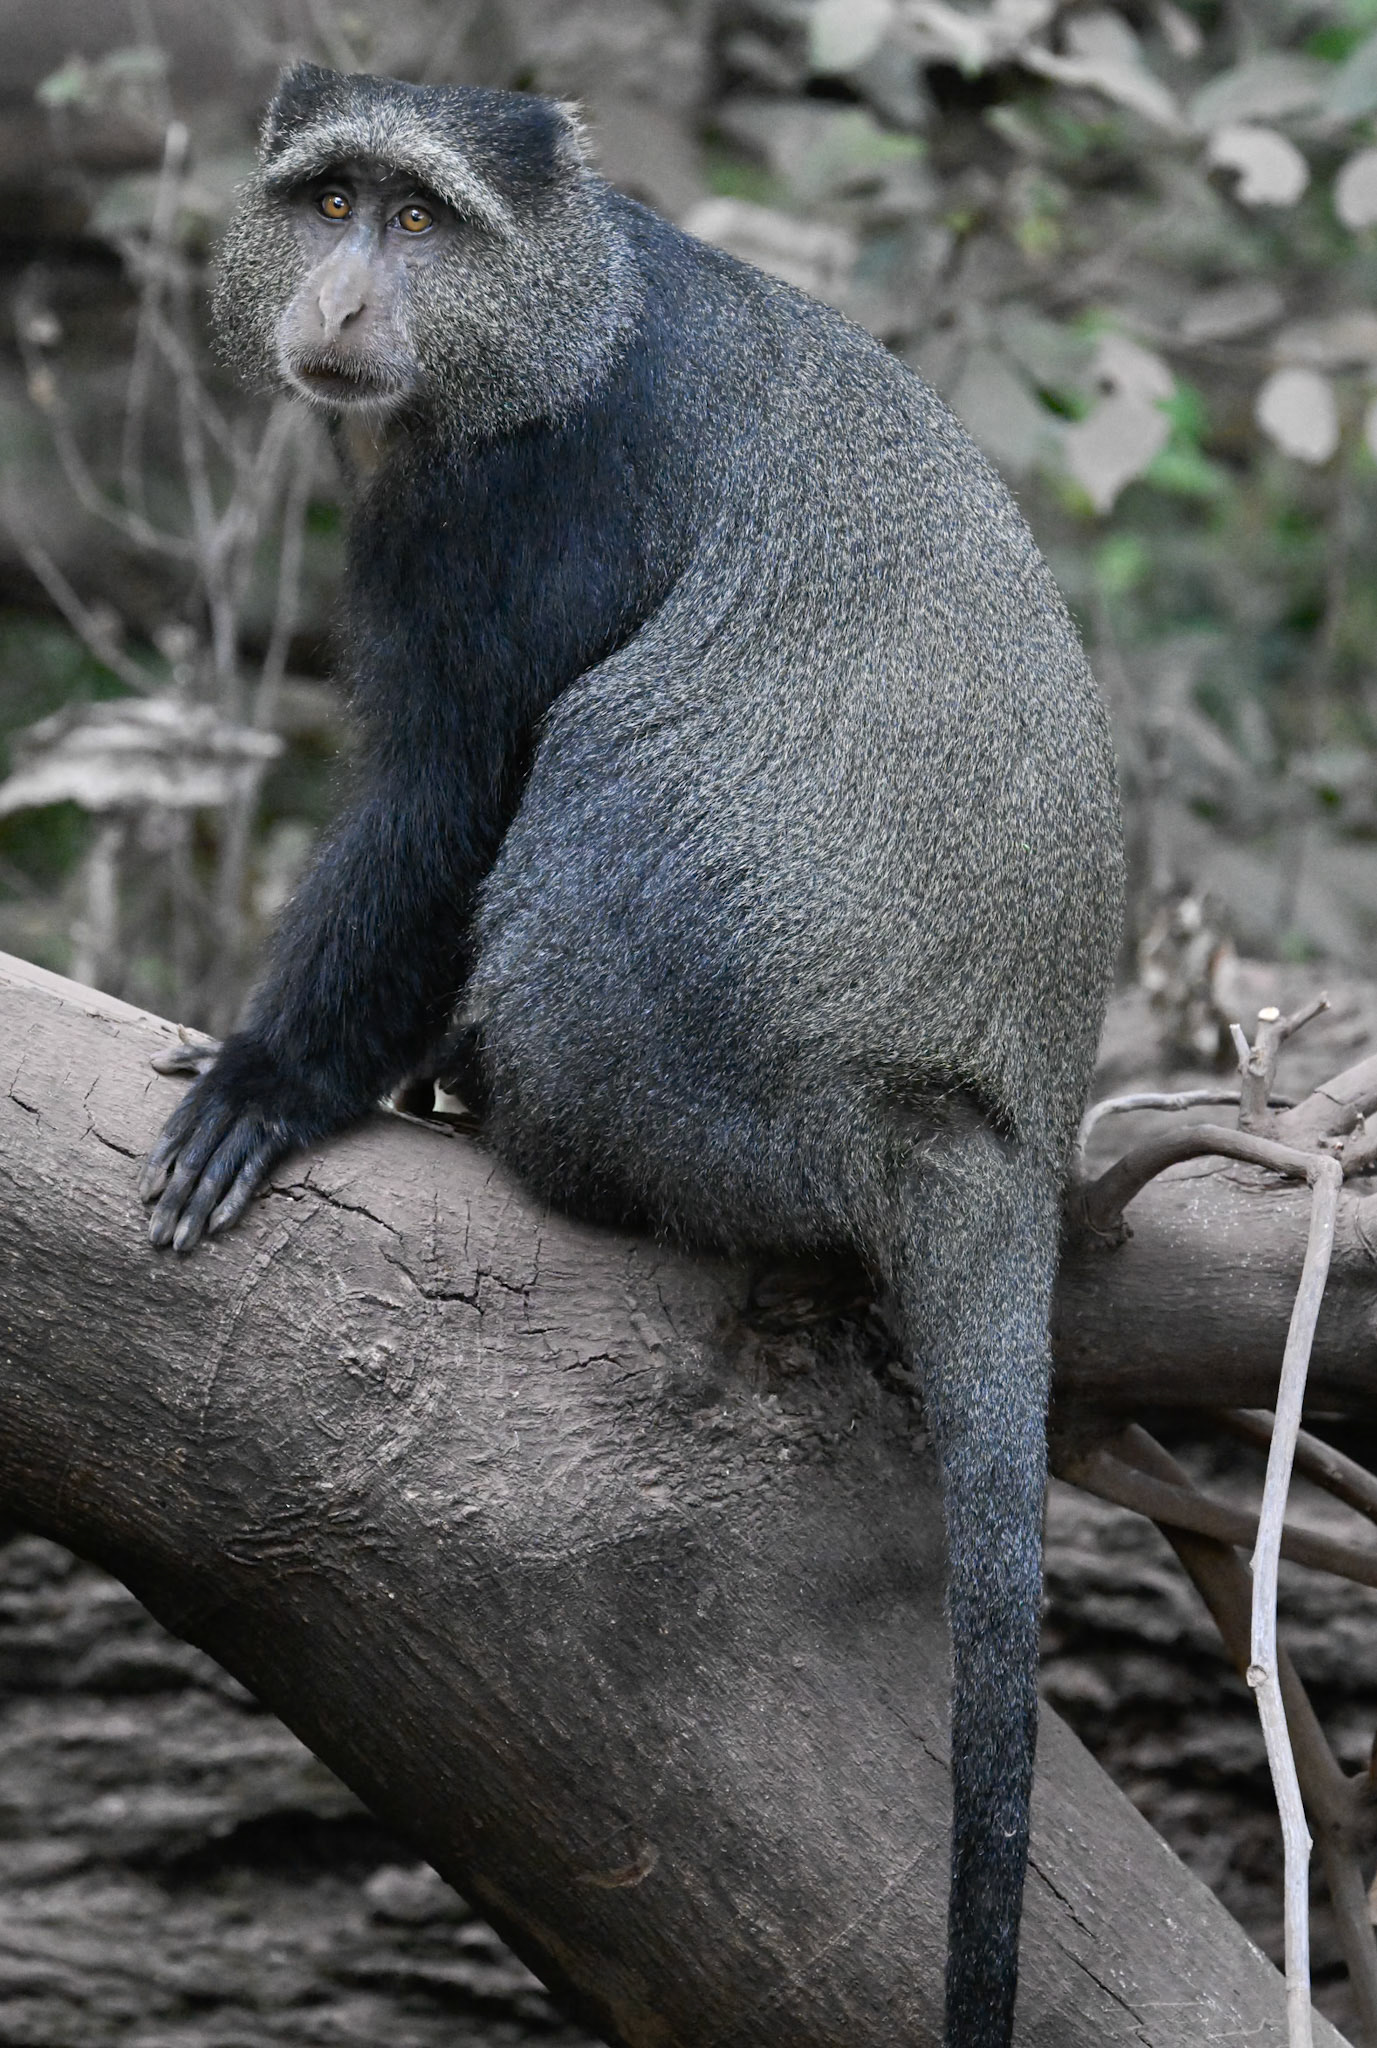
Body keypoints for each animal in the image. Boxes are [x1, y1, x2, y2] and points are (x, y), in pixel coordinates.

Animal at [139, 61, 1123, 2048]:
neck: (565, 312)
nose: (342, 295)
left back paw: (518, 1128)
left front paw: (274, 1087)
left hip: (733, 1084)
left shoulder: (524, 507)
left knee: (601, 757)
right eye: (330, 200)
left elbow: (447, 790)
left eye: (420, 220)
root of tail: (995, 1130)